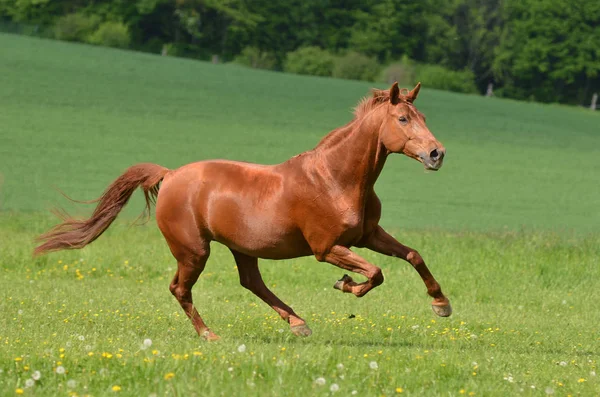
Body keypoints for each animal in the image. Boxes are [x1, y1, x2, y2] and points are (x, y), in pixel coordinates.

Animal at [34, 82, 450, 338]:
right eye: (402, 119)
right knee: (180, 288)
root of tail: (170, 176)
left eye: (424, 118)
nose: (437, 154)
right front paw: (346, 285)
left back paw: (297, 323)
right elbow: (376, 273)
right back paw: (210, 335)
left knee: (251, 282)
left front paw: (441, 304)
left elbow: (413, 255)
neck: (336, 179)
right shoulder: (326, 248)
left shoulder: (368, 235)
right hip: (194, 251)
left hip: (242, 248)